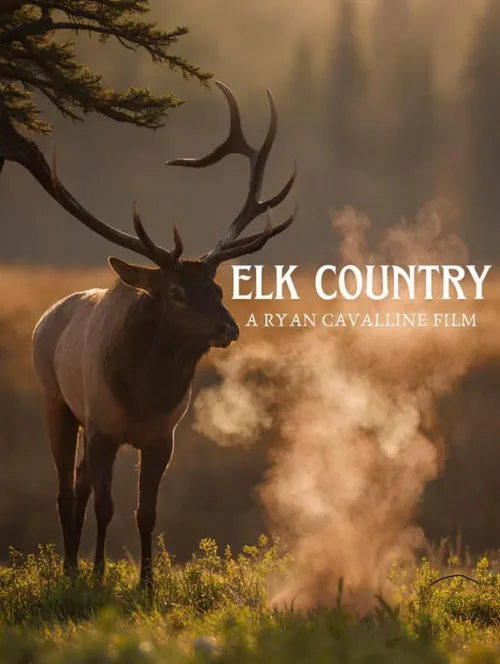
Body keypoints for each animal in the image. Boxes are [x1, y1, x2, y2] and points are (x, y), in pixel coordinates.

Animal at [31, 81, 297, 585]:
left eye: (217, 287)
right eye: (175, 292)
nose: (229, 327)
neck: (144, 395)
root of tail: (48, 316)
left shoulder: (162, 437)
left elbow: (146, 513)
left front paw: (148, 584)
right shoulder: (103, 427)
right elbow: (107, 507)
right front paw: (99, 577)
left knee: (78, 486)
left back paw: (74, 566)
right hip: (57, 402)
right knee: (66, 490)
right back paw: (71, 570)